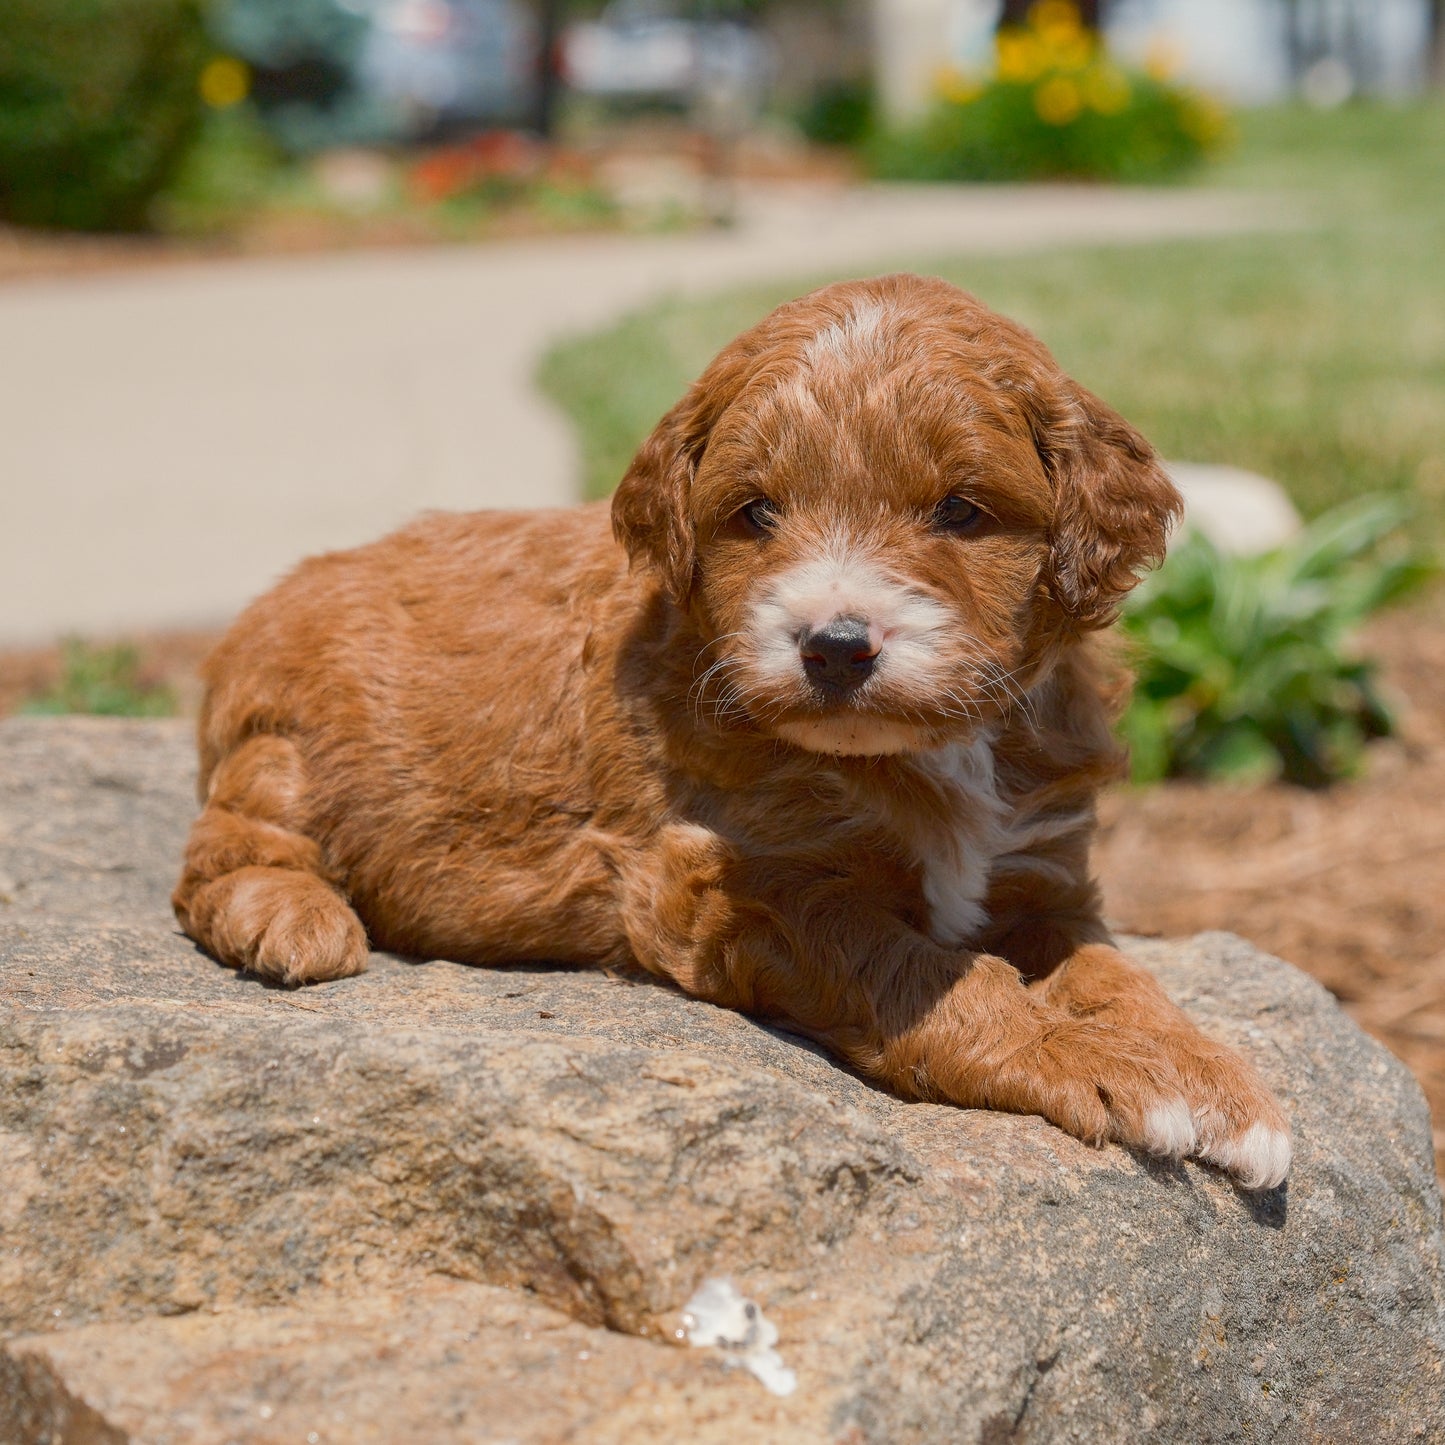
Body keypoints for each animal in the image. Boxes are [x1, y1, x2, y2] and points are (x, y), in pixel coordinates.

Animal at [174, 275, 1294, 1190]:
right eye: (755, 512)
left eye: (961, 511)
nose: (834, 646)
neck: (926, 749)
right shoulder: (726, 880)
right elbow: (926, 973)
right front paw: (1096, 1065)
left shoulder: (1043, 877)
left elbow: (1113, 972)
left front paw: (1204, 1075)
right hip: (280, 741)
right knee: (225, 846)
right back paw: (287, 914)